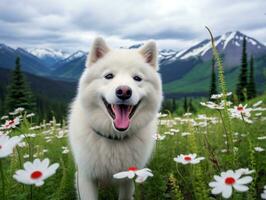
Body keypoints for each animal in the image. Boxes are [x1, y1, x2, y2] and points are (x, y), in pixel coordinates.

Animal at [68, 37, 162, 198]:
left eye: (137, 78)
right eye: (109, 76)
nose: (124, 91)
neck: (114, 137)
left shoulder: (128, 178)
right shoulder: (86, 177)